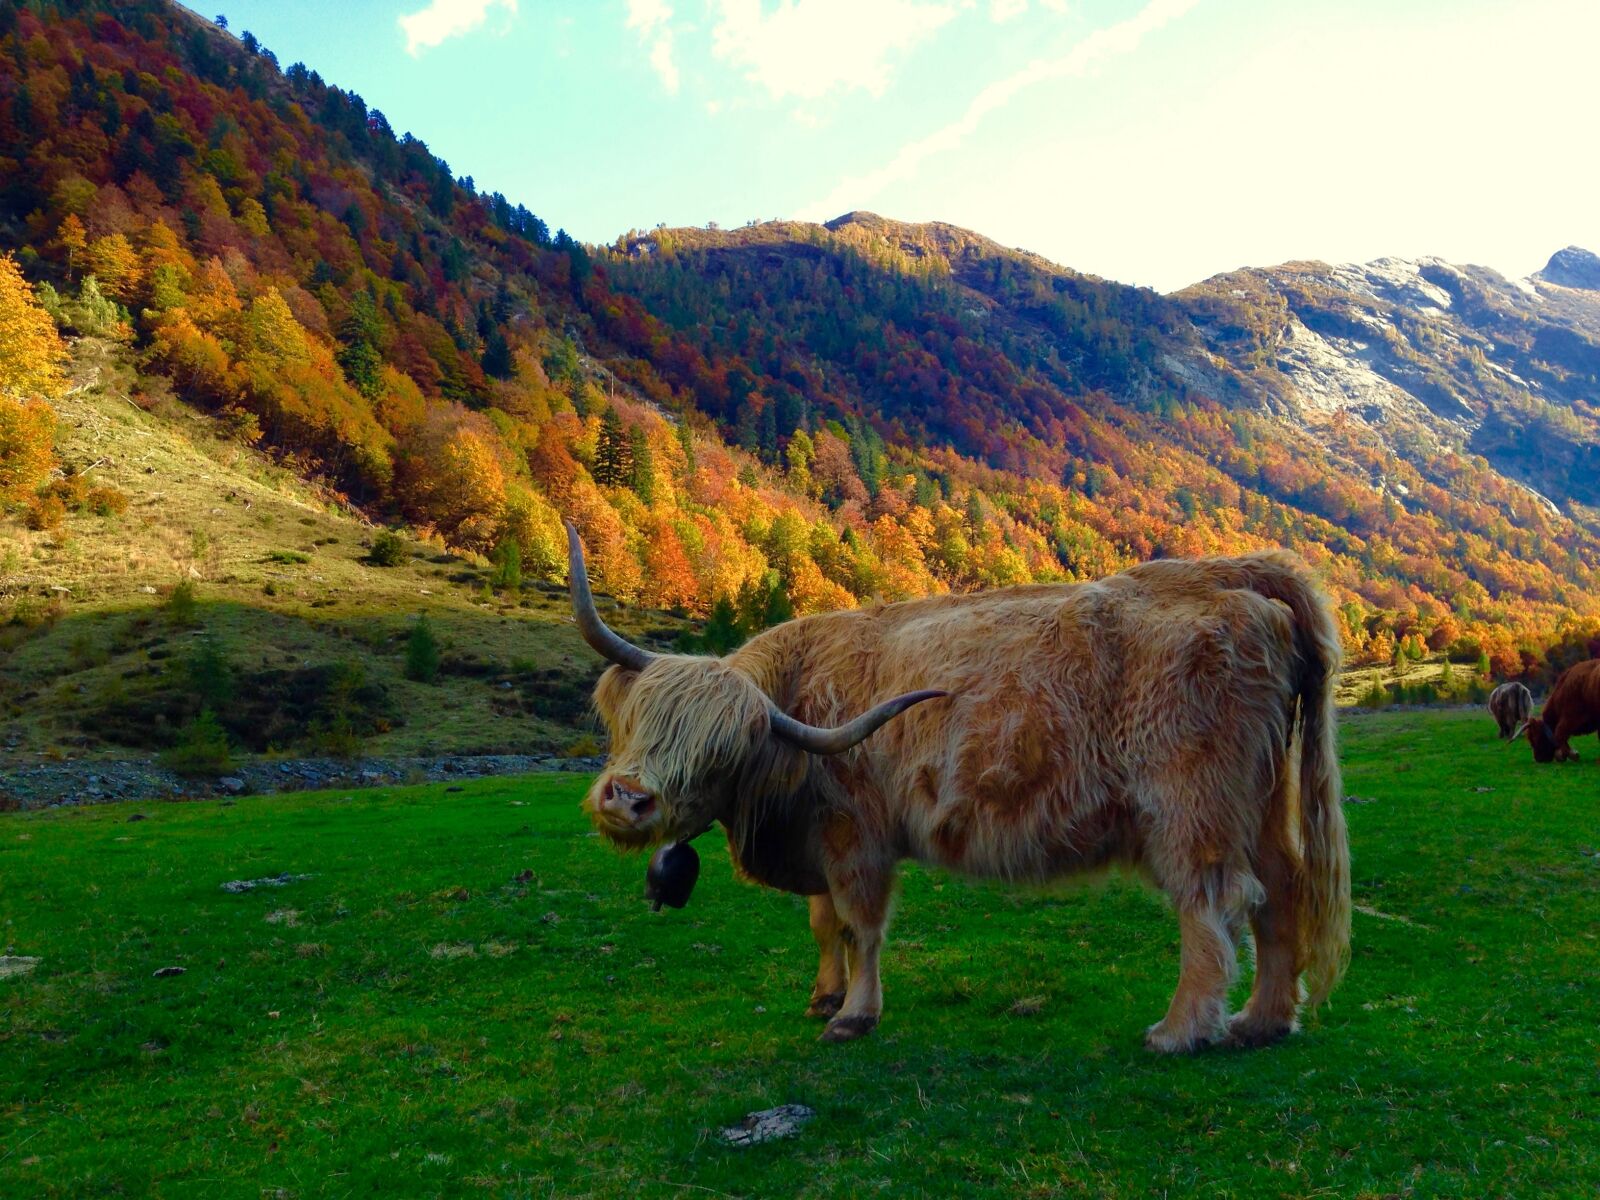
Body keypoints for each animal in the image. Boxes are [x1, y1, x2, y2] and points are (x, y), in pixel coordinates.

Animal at [565, 523, 1349, 1053]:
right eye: (639, 718)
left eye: (722, 751)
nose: (627, 800)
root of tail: (1235, 571)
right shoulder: (821, 843)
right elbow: (823, 923)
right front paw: (823, 996)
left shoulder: (857, 839)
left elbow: (860, 926)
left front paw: (854, 1015)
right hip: (1259, 798)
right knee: (1280, 890)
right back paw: (1262, 1021)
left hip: (1192, 804)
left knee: (1212, 903)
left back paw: (1182, 1029)